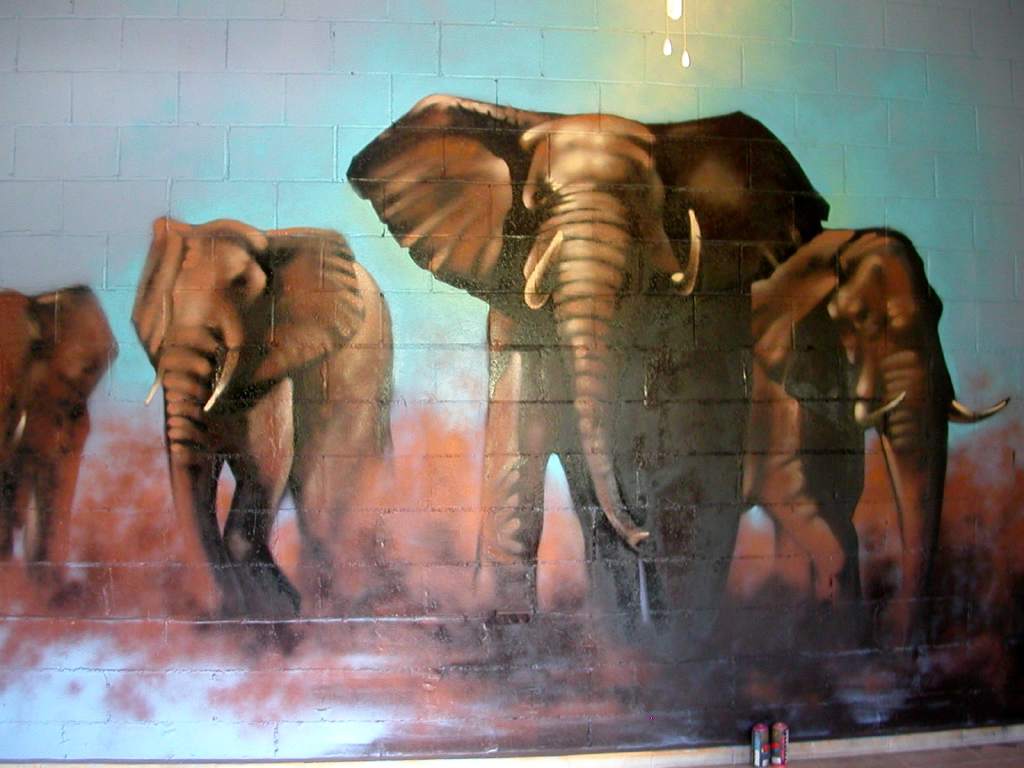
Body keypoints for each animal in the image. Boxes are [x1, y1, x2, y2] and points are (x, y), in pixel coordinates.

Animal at [133, 218, 392, 619]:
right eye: (166, 294)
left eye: (242, 285)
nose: (220, 609)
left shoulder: (275, 352)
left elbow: (267, 460)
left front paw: (277, 606)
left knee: (322, 495)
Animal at [346, 94, 1005, 647]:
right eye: (537, 204)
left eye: (649, 206)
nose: (636, 523)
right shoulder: (514, 306)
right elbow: (521, 444)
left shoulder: (721, 322)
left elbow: (721, 484)